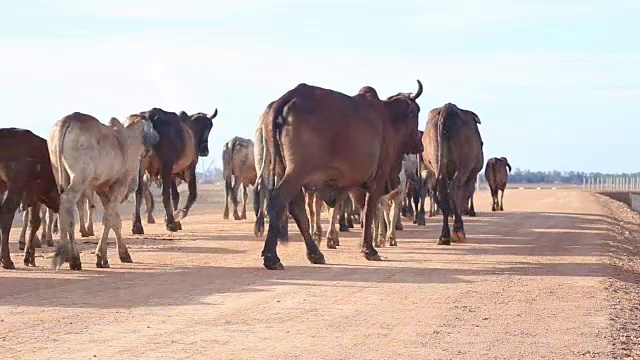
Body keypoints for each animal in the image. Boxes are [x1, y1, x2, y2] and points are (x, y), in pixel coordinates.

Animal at [0, 128, 60, 268]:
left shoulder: (34, 196)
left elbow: (34, 222)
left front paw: (29, 256)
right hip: (15, 186)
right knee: (6, 213)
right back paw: (7, 260)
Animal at [49, 112, 159, 270]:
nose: (157, 138)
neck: (127, 143)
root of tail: (67, 120)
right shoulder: (120, 187)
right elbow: (108, 219)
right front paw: (101, 257)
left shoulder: (102, 190)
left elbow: (115, 220)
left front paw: (123, 255)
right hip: (81, 177)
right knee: (67, 202)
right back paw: (65, 255)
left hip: (59, 174)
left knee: (65, 209)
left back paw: (72, 258)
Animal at [255, 79, 424, 270]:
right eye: (415, 113)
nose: (420, 144)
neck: (388, 118)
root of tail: (288, 96)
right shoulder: (377, 178)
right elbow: (369, 211)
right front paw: (370, 249)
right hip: (297, 171)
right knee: (279, 199)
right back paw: (272, 257)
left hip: (284, 169)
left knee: (296, 207)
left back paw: (314, 253)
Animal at [422, 102, 482, 246]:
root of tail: (447, 109)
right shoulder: (471, 176)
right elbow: (463, 197)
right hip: (463, 166)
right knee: (453, 189)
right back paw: (458, 231)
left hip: (436, 161)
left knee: (443, 191)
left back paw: (444, 236)